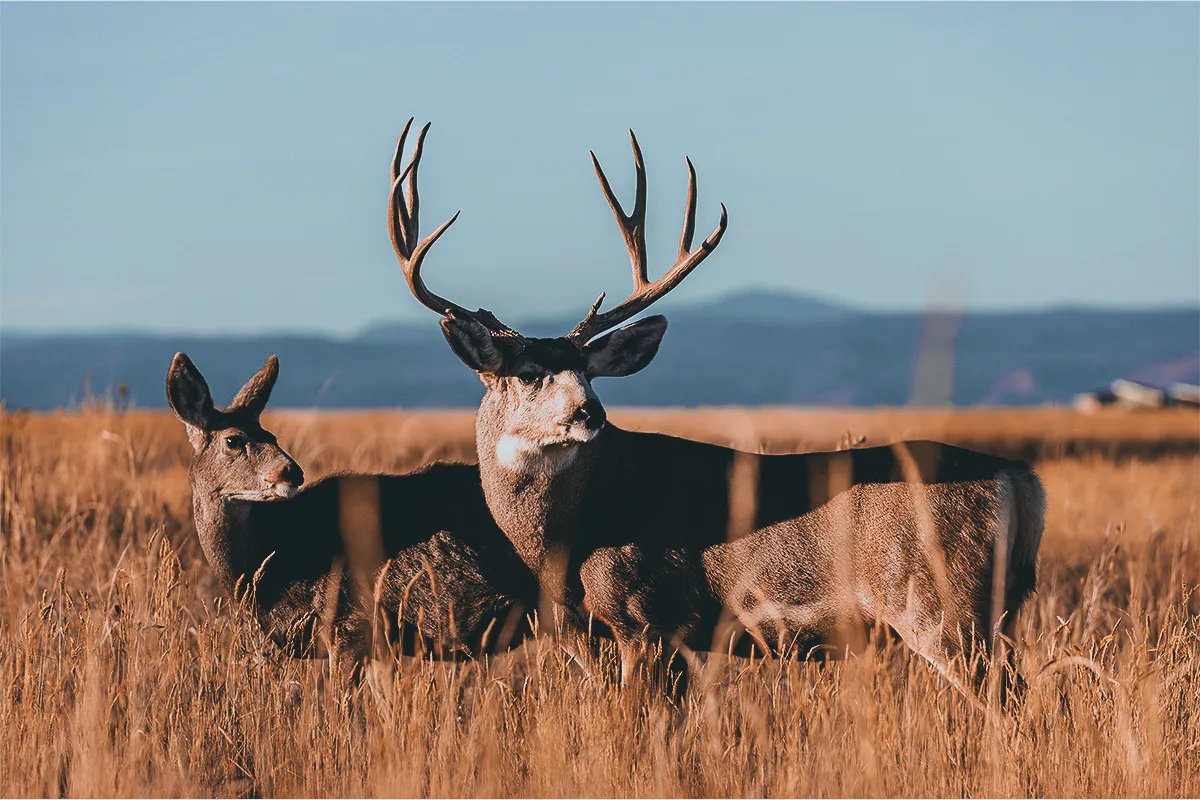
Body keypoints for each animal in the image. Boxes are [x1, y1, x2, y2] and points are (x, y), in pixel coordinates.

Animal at [386, 119, 1045, 703]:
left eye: (589, 372)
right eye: (526, 373)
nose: (590, 413)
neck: (564, 539)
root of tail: (1018, 478)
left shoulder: (646, 611)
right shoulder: (603, 630)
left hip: (942, 604)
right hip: (998, 608)